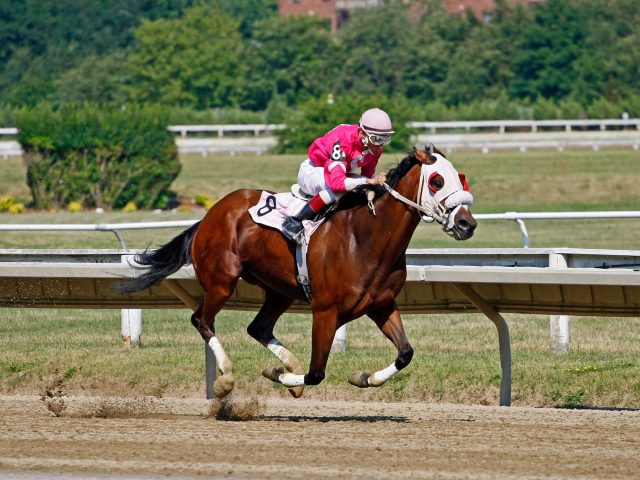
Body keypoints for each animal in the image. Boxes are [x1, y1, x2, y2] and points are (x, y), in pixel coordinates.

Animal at [121, 144, 477, 399]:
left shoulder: (381, 305)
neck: (365, 238)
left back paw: (285, 365)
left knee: (258, 328)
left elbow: (405, 353)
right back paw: (227, 378)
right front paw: (280, 375)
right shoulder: (325, 311)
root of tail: (209, 216)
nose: (466, 224)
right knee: (202, 320)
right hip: (222, 281)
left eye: (461, 177)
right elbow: (316, 372)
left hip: (279, 291)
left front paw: (363, 377)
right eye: (437, 181)